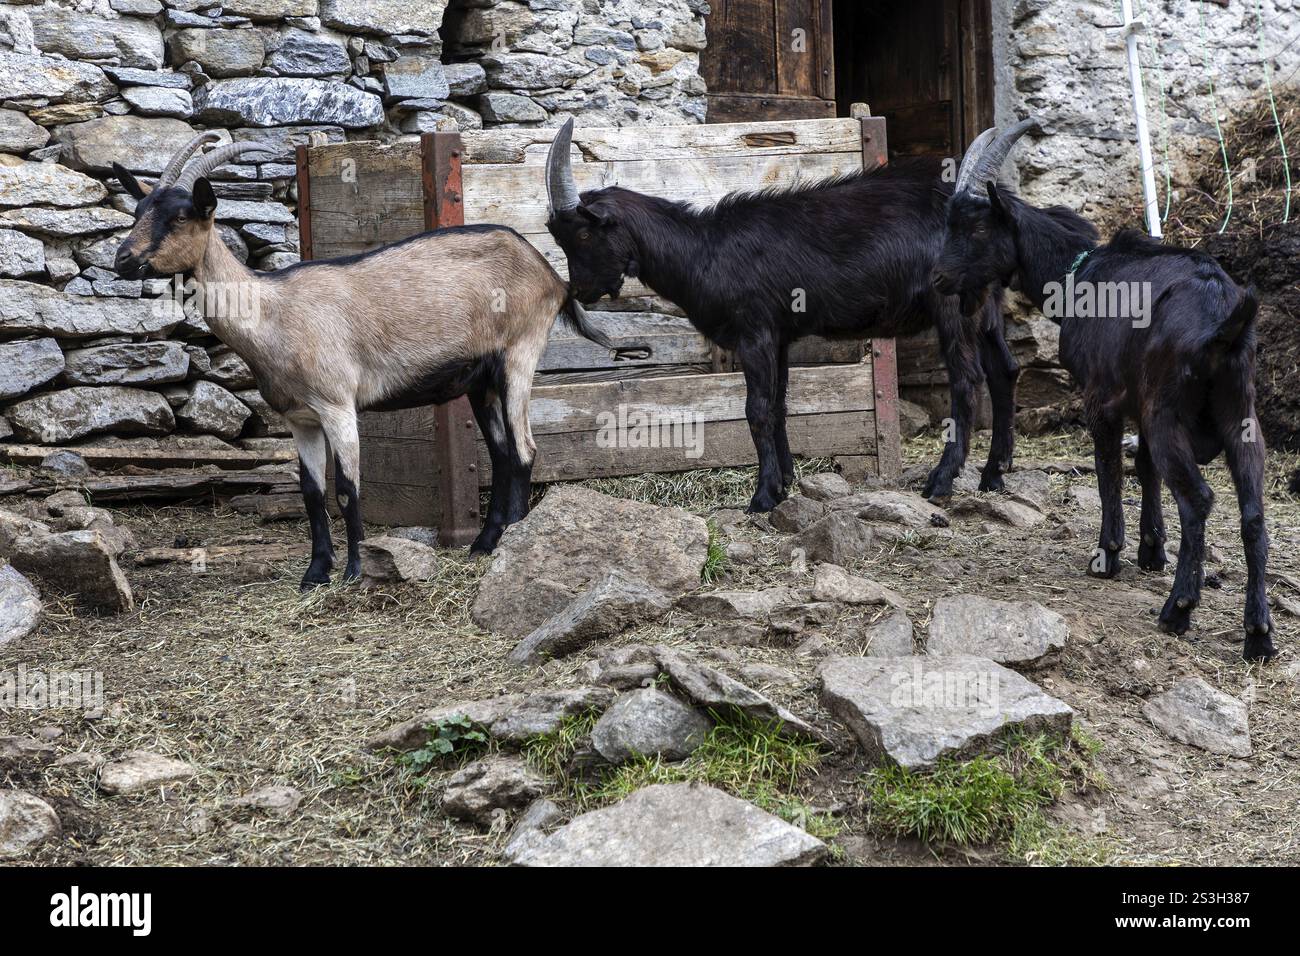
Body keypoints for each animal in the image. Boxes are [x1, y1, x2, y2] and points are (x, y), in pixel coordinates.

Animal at [113, 133, 613, 588]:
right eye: (138, 212)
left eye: (181, 216)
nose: (123, 259)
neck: (273, 311)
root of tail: (549, 274)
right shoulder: (301, 418)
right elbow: (313, 493)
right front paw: (315, 574)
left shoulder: (338, 405)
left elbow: (349, 490)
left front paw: (355, 571)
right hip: (480, 380)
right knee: (504, 452)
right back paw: (484, 543)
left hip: (519, 355)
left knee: (526, 449)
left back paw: (512, 538)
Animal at [542, 119, 1018, 513]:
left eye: (583, 233)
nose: (580, 291)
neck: (702, 249)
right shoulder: (780, 334)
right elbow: (781, 402)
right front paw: (785, 481)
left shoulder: (754, 332)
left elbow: (756, 409)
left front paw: (762, 496)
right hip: (986, 305)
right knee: (1004, 370)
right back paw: (994, 474)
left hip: (953, 306)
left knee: (967, 380)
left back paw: (942, 481)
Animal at [932, 120, 1275, 661]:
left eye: (980, 227)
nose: (938, 277)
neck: (1078, 272)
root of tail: (1225, 319)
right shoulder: (1138, 402)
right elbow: (1144, 468)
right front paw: (1151, 550)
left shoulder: (1102, 398)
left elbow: (1109, 469)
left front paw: (1109, 555)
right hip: (1239, 415)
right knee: (1254, 513)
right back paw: (1259, 635)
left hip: (1169, 412)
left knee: (1199, 499)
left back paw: (1178, 610)